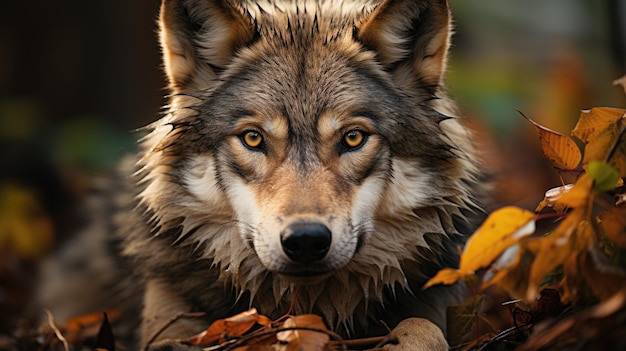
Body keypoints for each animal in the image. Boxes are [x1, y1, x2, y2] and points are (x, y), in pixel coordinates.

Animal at [41, 0, 480, 350]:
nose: (306, 240)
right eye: (253, 138)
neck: (310, 306)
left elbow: (422, 329)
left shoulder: (433, 304)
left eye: (353, 137)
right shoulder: (168, 315)